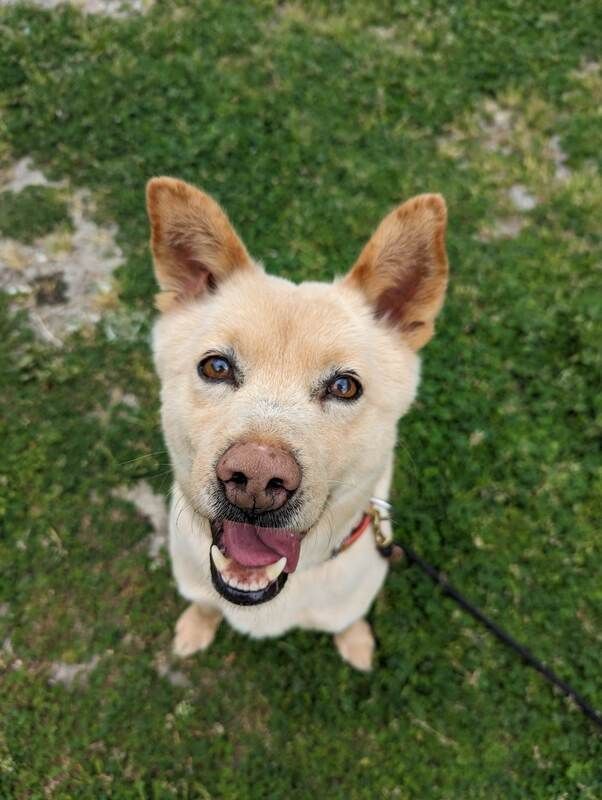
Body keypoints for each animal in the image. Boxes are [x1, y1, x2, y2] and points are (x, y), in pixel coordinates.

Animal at [145, 178, 446, 672]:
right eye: (216, 367)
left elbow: (347, 620)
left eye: (344, 386)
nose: (255, 477)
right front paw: (196, 626)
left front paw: (356, 643)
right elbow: (204, 603)